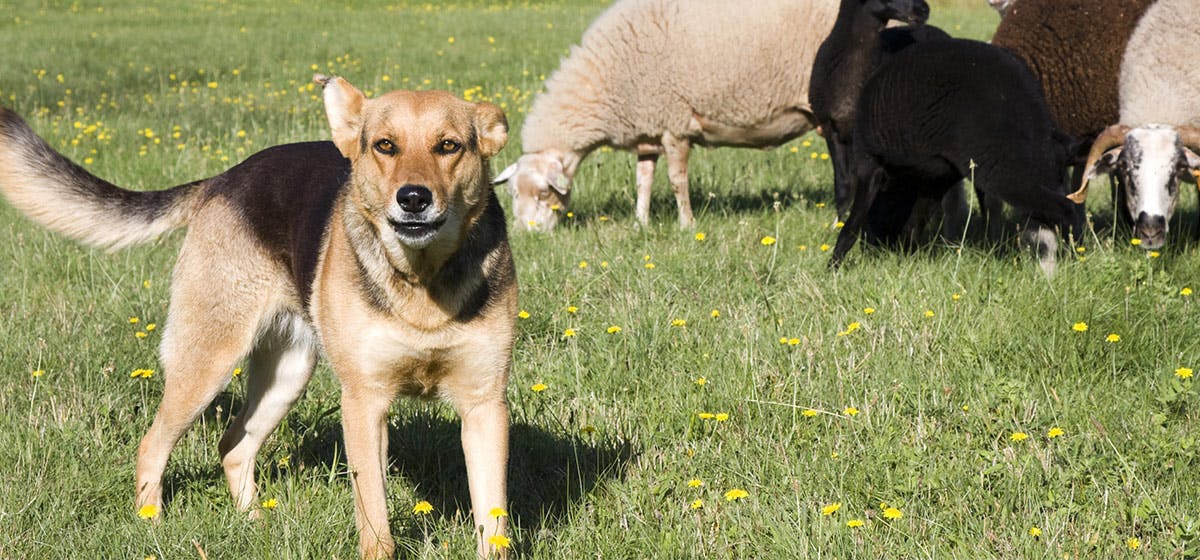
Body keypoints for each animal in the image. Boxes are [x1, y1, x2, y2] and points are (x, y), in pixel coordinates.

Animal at [0, 75, 513, 560]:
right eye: (385, 145)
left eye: (449, 146)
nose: (413, 199)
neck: (422, 280)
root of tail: (223, 178)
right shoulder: (365, 403)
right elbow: (375, 520)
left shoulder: (484, 407)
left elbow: (493, 519)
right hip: (207, 363)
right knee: (153, 445)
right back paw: (152, 525)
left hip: (287, 374)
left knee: (233, 447)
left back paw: (253, 523)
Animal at [492, 0, 840, 230]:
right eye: (512, 193)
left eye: (543, 192)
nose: (528, 233)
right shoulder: (648, 131)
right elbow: (642, 181)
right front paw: (640, 223)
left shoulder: (675, 123)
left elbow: (676, 181)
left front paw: (687, 224)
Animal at [830, 38, 1084, 274]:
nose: (874, 247)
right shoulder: (937, 179)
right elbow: (913, 226)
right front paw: (905, 262)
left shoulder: (869, 162)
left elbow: (852, 225)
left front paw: (833, 268)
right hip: (1040, 170)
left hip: (1002, 167)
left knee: (1065, 209)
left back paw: (1076, 259)